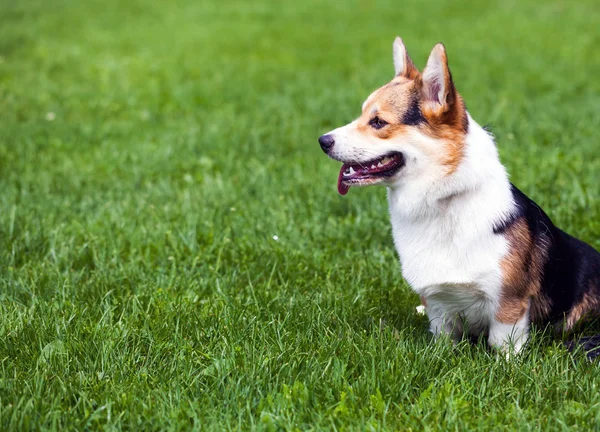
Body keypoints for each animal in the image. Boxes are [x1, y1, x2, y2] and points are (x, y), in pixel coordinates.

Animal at [318, 37, 600, 354]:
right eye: (363, 114)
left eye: (378, 122)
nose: (322, 141)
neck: (441, 200)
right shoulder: (439, 305)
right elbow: (443, 338)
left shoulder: (509, 305)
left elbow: (502, 346)